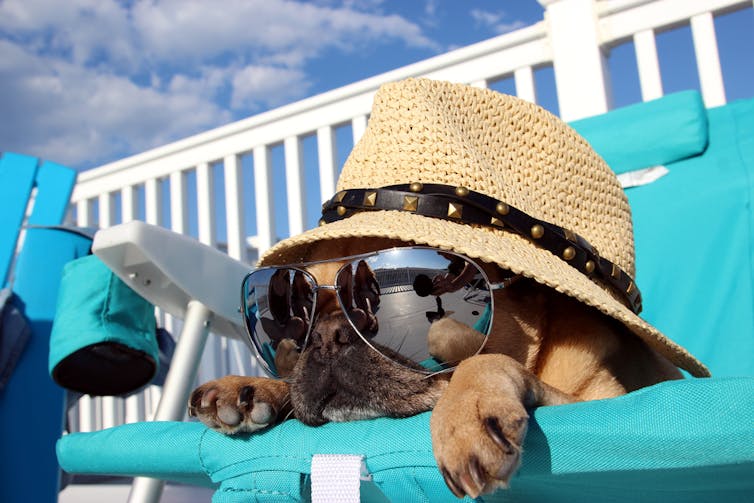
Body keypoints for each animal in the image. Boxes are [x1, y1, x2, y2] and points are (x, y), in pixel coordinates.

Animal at [188, 237, 680, 500]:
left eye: (369, 298)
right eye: (302, 308)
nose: (327, 335)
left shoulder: (602, 403)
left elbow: (477, 355)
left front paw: (464, 413)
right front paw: (252, 387)